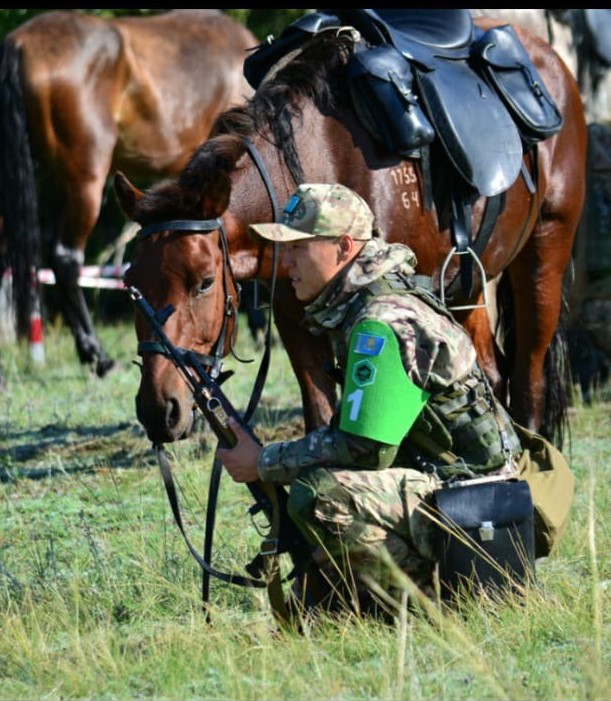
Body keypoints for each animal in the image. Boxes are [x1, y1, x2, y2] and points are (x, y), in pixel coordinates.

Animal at [115, 16, 588, 448]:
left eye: (205, 283)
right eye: (131, 285)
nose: (159, 410)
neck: (316, 165)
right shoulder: (294, 321)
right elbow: (320, 418)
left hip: (543, 259)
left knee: (528, 382)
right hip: (467, 286)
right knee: (492, 374)